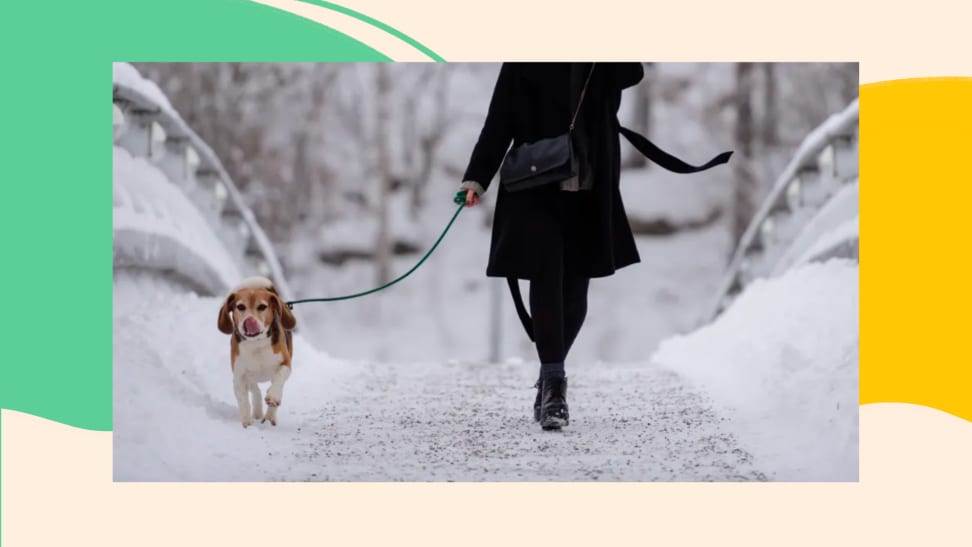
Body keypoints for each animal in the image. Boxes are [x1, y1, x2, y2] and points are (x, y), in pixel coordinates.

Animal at [217, 278, 296, 428]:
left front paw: (273, 396)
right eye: (240, 307)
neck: (257, 344)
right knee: (255, 390)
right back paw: (258, 411)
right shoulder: (239, 376)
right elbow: (244, 400)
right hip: (249, 376)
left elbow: (279, 378)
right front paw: (246, 423)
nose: (250, 321)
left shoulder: (285, 363)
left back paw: (270, 415)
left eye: (262, 307)